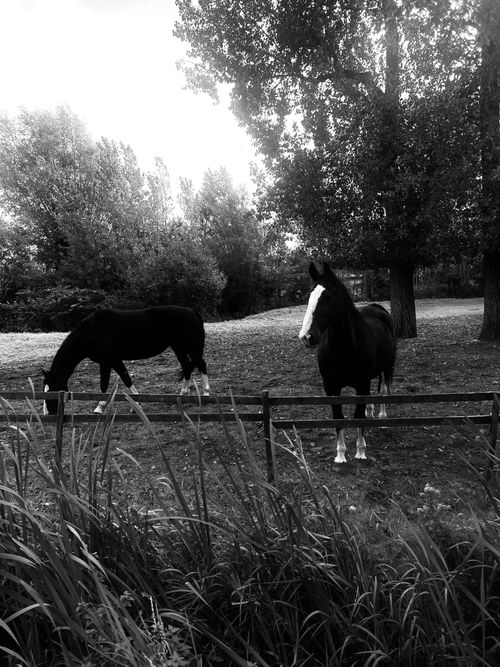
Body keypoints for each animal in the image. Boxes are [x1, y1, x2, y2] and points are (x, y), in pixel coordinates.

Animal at [42, 306, 210, 415]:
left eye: (52, 389)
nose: (48, 413)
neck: (92, 331)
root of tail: (192, 311)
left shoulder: (111, 360)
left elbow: (119, 380)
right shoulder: (108, 362)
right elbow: (114, 381)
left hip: (191, 348)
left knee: (201, 364)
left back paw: (206, 394)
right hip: (178, 348)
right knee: (187, 367)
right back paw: (182, 395)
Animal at [299, 262, 396, 463]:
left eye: (327, 297)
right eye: (308, 297)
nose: (306, 336)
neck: (344, 348)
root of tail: (379, 308)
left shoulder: (361, 383)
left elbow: (358, 416)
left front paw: (360, 452)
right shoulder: (331, 387)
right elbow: (338, 417)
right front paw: (340, 454)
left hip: (385, 368)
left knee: (383, 389)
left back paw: (382, 417)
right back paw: (370, 411)